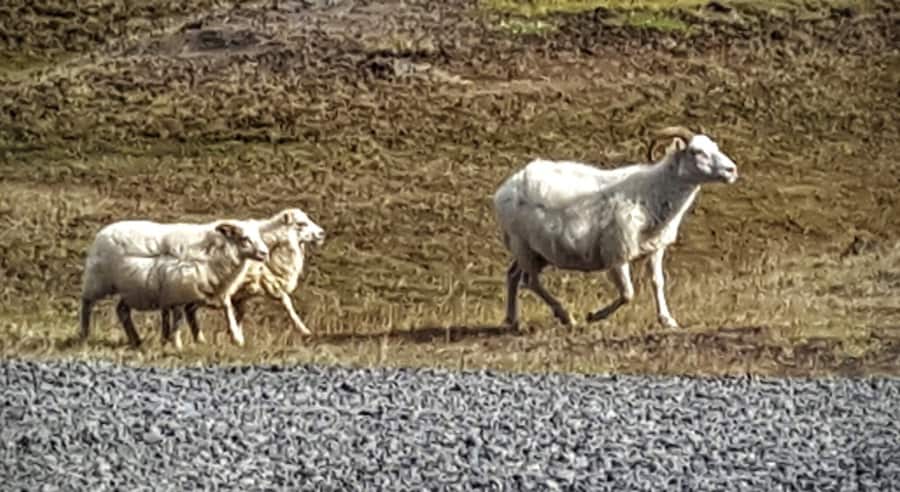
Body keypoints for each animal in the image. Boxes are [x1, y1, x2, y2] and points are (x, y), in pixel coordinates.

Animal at [78, 217, 268, 348]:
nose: (264, 253)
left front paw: (236, 338)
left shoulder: (209, 287)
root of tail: (103, 232)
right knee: (87, 304)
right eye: (245, 238)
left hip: (131, 288)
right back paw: (84, 334)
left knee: (122, 311)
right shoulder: (179, 290)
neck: (216, 249)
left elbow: (227, 309)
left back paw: (136, 340)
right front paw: (176, 344)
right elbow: (178, 318)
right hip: (98, 280)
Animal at [163, 208, 326, 350]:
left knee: (188, 310)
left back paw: (196, 339)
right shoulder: (255, 284)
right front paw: (304, 330)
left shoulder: (252, 287)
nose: (322, 233)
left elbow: (244, 312)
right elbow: (285, 303)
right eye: (301, 223)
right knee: (182, 309)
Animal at [492, 126, 740, 330]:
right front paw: (594, 316)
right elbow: (628, 294)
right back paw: (566, 316)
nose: (732, 170)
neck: (652, 190)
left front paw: (667, 320)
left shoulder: (655, 248)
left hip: (536, 252)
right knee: (530, 281)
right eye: (697, 152)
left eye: (714, 147)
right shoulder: (617, 252)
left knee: (513, 275)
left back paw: (512, 320)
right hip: (523, 245)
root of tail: (507, 187)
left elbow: (657, 282)